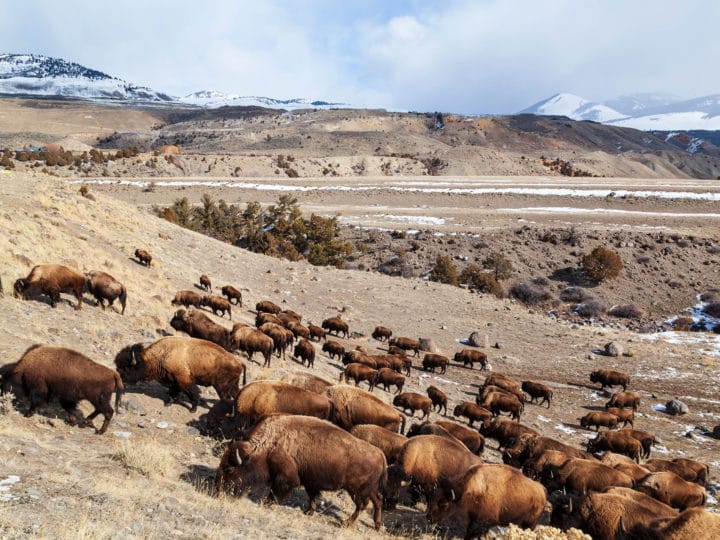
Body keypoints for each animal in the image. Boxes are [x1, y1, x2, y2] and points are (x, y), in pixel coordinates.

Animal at [114, 336, 246, 412]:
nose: (119, 375)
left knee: (225, 398)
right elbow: (173, 393)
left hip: (221, 386)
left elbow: (192, 394)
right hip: (232, 385)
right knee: (236, 395)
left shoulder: (184, 381)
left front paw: (193, 409)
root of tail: (239, 362)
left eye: (127, 367)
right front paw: (168, 403)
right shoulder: (173, 381)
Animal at [215, 414, 388, 528]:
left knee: (362, 505)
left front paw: (267, 503)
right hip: (369, 489)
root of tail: (380, 454)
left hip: (357, 490)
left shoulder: (286, 477)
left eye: (229, 469)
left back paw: (346, 523)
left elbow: (275, 490)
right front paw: (309, 511)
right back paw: (377, 524)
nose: (218, 487)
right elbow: (311, 496)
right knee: (377, 500)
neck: (269, 444)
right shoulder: (309, 482)